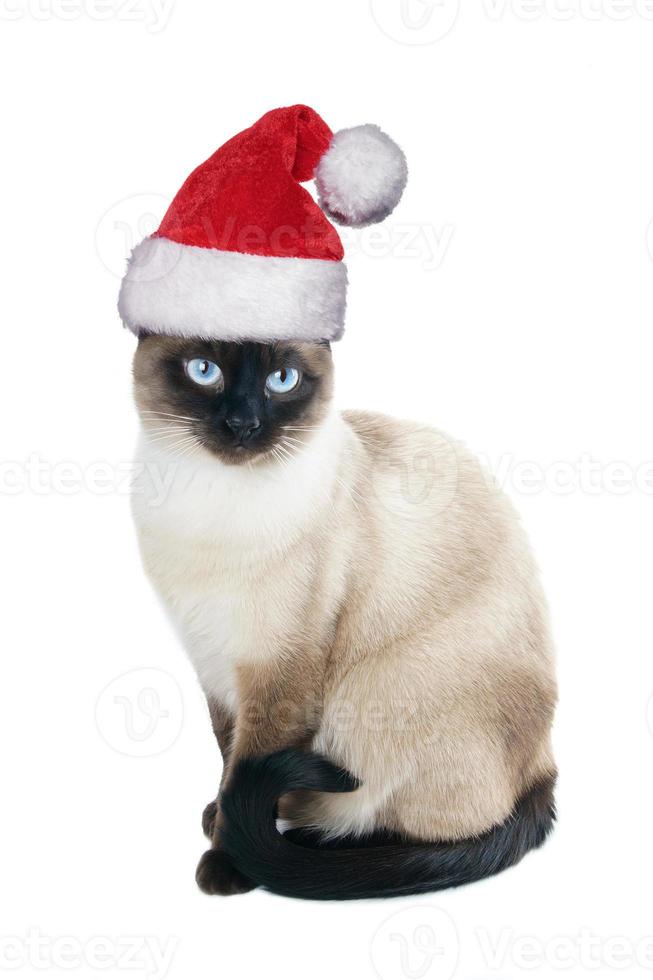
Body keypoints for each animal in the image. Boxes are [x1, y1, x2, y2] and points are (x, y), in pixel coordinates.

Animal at [131, 334, 556, 900]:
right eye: (204, 371)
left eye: (282, 380)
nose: (243, 425)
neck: (208, 513)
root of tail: (544, 767)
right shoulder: (212, 664)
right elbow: (227, 757)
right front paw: (218, 815)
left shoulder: (280, 674)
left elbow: (247, 764)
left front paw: (227, 859)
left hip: (373, 692)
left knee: (424, 828)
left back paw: (305, 842)